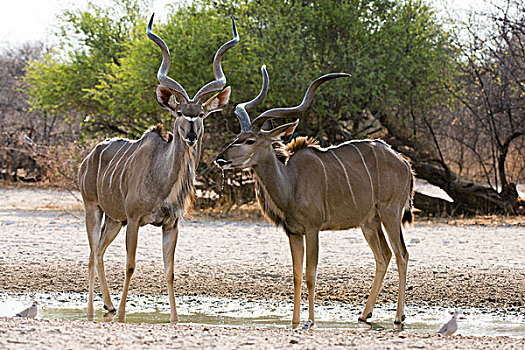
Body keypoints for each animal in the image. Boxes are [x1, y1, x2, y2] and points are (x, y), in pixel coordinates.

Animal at [78, 15, 237, 324]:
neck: (163, 179)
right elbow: (130, 265)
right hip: (94, 208)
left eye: (201, 114)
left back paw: (108, 306)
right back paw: (93, 312)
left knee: (100, 251)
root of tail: (89, 157)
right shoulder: (134, 219)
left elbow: (170, 271)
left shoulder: (170, 224)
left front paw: (174, 319)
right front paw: (123, 317)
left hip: (113, 219)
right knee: (91, 253)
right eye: (179, 113)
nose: (191, 135)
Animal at [215, 66, 412, 328]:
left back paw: (399, 317)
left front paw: (309, 321)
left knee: (401, 254)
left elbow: (310, 273)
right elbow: (297, 274)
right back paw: (364, 314)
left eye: (249, 140)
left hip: (391, 213)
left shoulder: (312, 229)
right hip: (369, 222)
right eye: (237, 137)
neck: (291, 181)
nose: (220, 158)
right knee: (384, 256)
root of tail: (404, 162)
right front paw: (295, 321)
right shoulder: (294, 232)